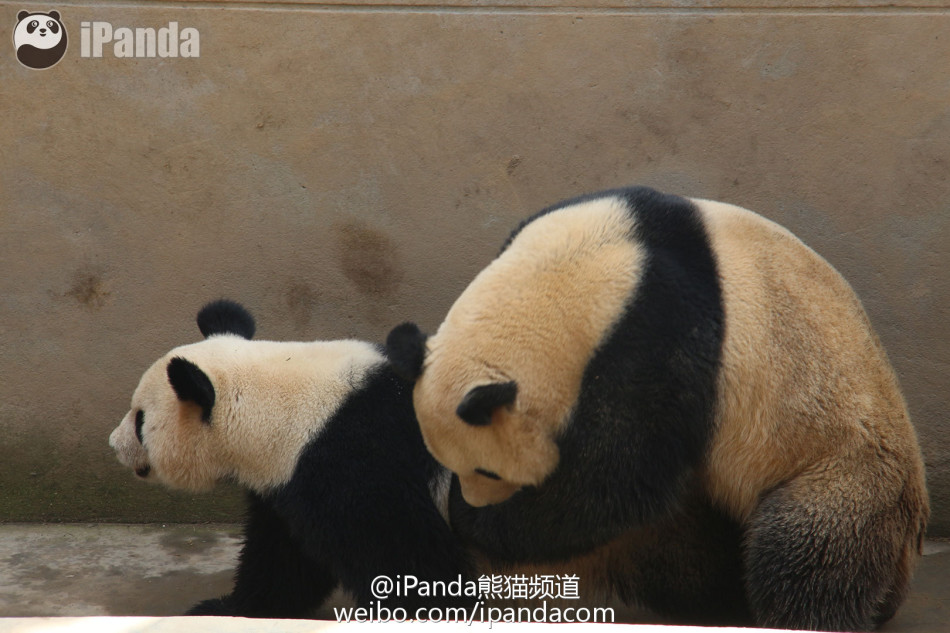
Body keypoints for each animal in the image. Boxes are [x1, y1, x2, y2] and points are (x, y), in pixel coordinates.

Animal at [111, 302, 472, 616]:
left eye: (140, 419)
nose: (113, 443)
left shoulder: (353, 467)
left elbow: (407, 561)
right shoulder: (287, 477)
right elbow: (284, 563)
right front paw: (229, 609)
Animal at [386, 185, 928, 628]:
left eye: (489, 471)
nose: (474, 501)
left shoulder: (660, 337)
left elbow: (615, 478)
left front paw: (478, 522)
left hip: (846, 461)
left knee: (810, 548)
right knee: (675, 545)